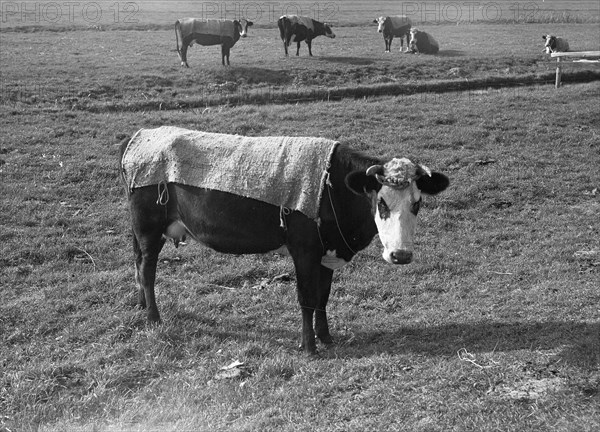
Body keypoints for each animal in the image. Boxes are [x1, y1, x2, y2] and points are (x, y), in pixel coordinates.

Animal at [119, 125, 450, 354]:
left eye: (417, 203)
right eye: (381, 202)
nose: (401, 255)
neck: (331, 186)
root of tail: (142, 135)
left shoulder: (326, 253)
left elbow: (323, 297)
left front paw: (326, 337)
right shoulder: (303, 251)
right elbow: (306, 298)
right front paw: (309, 346)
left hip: (141, 230)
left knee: (137, 264)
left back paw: (140, 305)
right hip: (148, 228)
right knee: (147, 270)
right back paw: (153, 318)